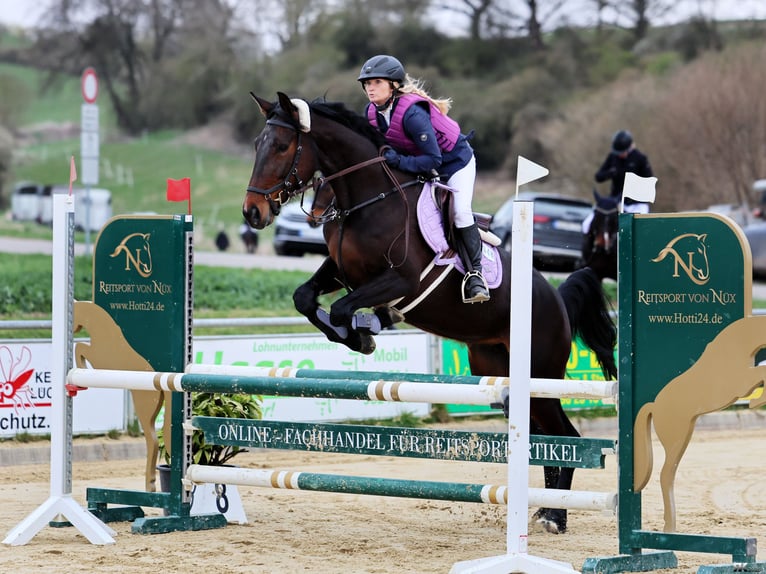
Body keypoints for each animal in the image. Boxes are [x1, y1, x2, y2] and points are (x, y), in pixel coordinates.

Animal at [242, 92, 617, 534]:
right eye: (257, 144)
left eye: (283, 146)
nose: (252, 212)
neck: (368, 199)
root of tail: (556, 298)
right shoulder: (340, 269)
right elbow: (306, 298)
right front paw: (361, 330)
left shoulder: (401, 279)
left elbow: (341, 307)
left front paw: (362, 333)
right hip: (497, 366)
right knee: (543, 438)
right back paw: (543, 509)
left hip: (540, 372)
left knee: (567, 436)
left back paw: (555, 517)